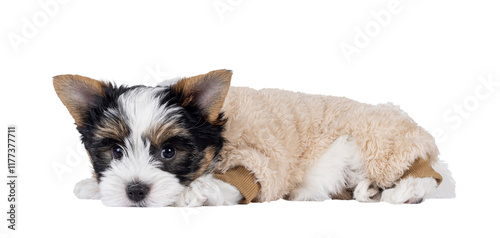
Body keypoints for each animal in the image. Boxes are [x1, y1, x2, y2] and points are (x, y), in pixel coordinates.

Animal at [53, 69, 446, 206]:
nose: (135, 191)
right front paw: (92, 187)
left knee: (425, 177)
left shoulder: (257, 159)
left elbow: (232, 182)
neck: (220, 137)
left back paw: (403, 193)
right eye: (116, 150)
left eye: (168, 152)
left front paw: (195, 193)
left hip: (378, 142)